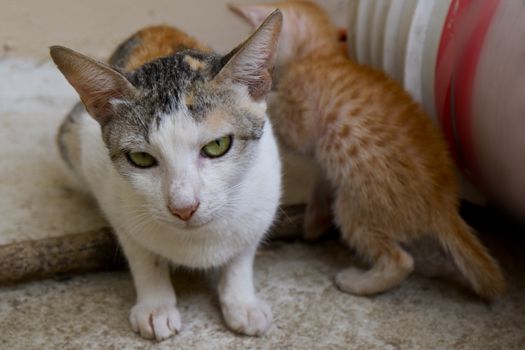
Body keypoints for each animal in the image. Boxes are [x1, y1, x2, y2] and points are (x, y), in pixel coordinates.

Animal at [50, 10, 282, 340]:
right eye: (141, 158)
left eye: (217, 146)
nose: (184, 207)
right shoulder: (105, 183)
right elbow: (141, 251)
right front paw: (156, 306)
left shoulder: (267, 187)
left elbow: (243, 252)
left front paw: (241, 301)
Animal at [231, 1, 506, 300]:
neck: (319, 54)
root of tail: (443, 204)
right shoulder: (324, 159)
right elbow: (320, 185)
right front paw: (313, 220)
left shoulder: (300, 119)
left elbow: (286, 123)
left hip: (358, 205)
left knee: (401, 261)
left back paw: (357, 282)